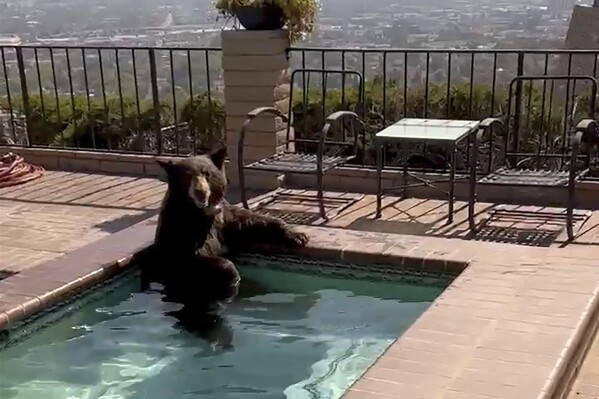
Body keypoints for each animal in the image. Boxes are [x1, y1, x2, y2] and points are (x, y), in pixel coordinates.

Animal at [149, 146, 310, 306]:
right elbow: (190, 258)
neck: (202, 212)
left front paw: (298, 236)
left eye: (207, 173)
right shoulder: (179, 228)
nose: (200, 192)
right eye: (186, 176)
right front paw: (232, 273)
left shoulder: (222, 218)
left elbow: (248, 221)